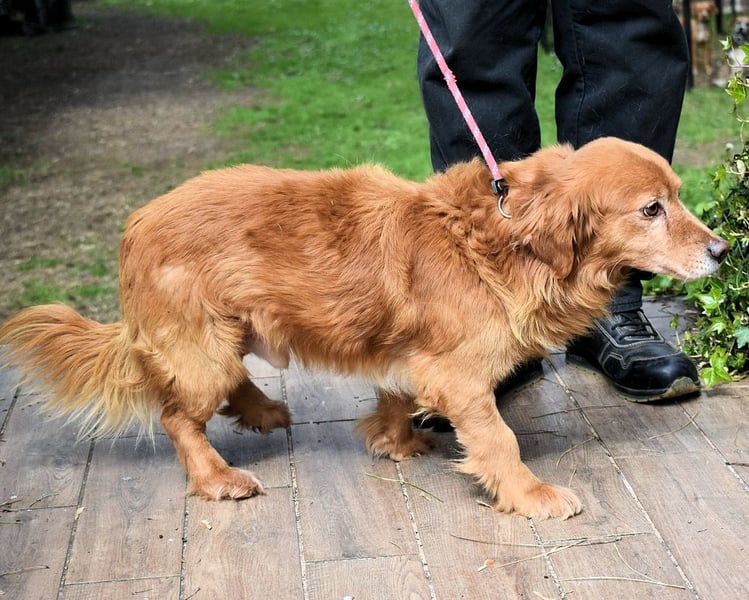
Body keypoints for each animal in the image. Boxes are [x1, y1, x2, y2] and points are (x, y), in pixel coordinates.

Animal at [0, 137, 728, 520]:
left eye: (678, 195)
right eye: (651, 209)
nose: (724, 249)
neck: (501, 242)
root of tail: (136, 224)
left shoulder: (411, 357)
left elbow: (396, 397)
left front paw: (395, 441)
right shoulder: (459, 375)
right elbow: (497, 440)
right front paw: (530, 494)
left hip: (228, 338)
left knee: (225, 387)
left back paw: (261, 410)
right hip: (202, 349)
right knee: (179, 417)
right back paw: (218, 477)